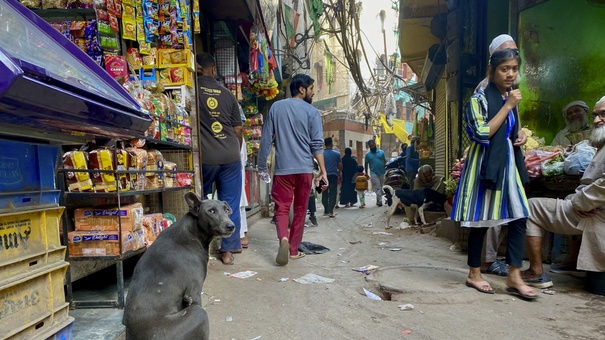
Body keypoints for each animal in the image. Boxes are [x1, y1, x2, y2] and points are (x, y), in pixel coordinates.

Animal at [122, 194, 234, 340]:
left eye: (226, 210)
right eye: (211, 211)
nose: (231, 226)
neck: (194, 231)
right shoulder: (194, 292)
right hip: (198, 314)